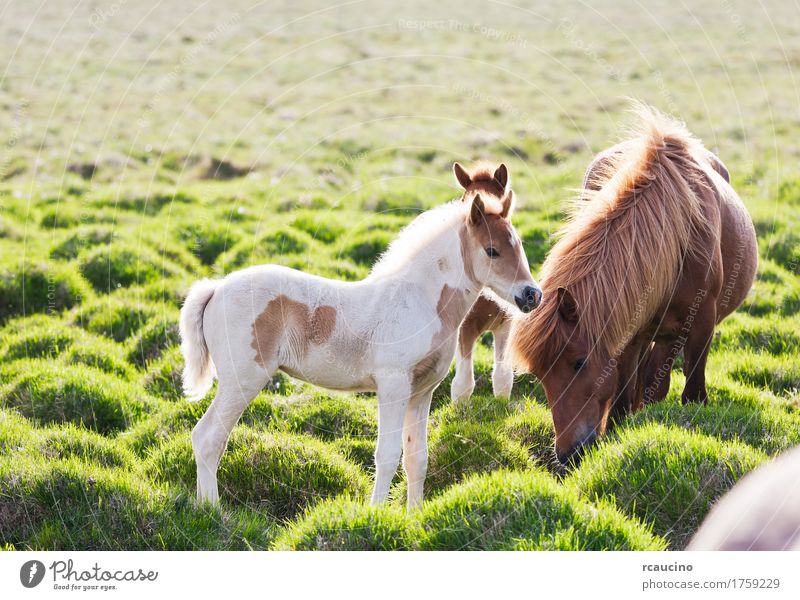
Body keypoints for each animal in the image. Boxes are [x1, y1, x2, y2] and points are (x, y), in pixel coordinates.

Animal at [180, 162, 544, 508]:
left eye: (519, 244)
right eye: (492, 250)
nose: (531, 295)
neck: (420, 300)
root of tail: (215, 289)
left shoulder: (422, 391)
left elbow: (417, 458)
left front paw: (414, 515)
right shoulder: (393, 386)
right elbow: (387, 455)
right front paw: (376, 513)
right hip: (242, 381)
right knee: (208, 438)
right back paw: (214, 511)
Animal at [456, 106, 756, 464]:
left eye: (579, 362)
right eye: (541, 375)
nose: (568, 454)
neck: (677, 237)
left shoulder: (701, 323)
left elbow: (692, 391)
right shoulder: (628, 331)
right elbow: (623, 399)